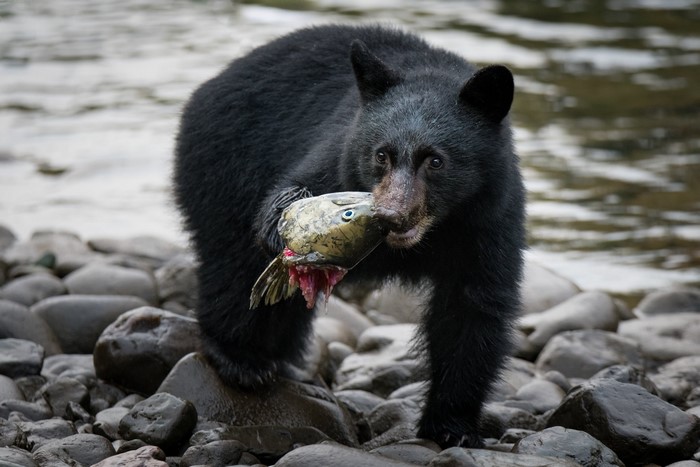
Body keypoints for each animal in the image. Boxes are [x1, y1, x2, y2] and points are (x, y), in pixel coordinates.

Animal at [173, 24, 525, 448]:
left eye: (436, 160)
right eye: (381, 155)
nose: (391, 215)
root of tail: (210, 86)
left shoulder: (489, 220)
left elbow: (472, 310)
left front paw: (452, 426)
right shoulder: (339, 153)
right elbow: (299, 187)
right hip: (225, 167)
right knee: (234, 265)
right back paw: (242, 359)